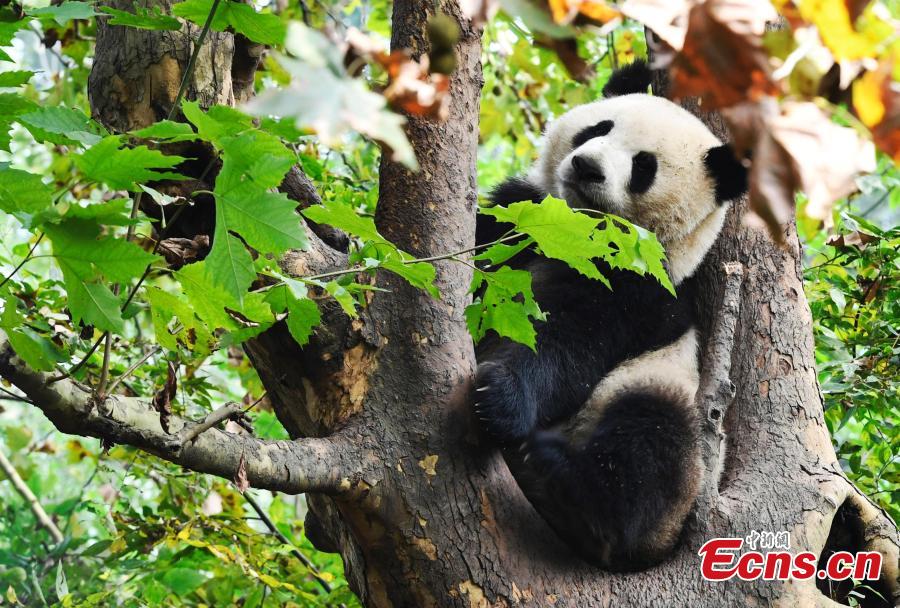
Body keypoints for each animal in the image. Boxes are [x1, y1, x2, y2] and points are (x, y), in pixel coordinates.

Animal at [472, 61, 748, 570]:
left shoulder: (637, 290)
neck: (576, 233)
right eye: (599, 128)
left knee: (651, 445)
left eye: (644, 167)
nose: (586, 166)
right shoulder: (521, 217)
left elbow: (569, 349)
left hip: (667, 402)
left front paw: (500, 395)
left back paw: (565, 484)